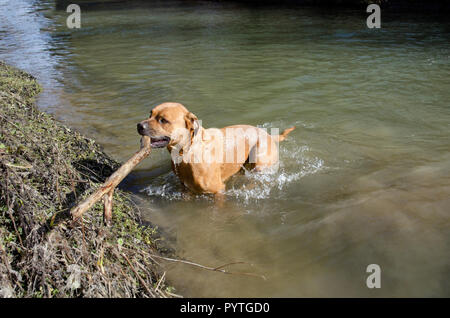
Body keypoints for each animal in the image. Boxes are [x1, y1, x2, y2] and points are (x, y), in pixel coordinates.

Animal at [136, 103, 296, 195]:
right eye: (150, 114)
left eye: (163, 120)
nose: (139, 125)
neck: (188, 151)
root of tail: (269, 134)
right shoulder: (185, 188)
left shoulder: (218, 190)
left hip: (260, 163)